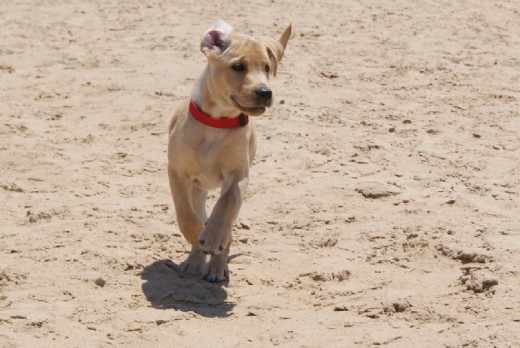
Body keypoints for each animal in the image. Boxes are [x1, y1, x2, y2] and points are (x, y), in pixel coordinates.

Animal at [167, 21, 290, 282]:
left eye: (266, 67)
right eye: (238, 67)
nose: (265, 92)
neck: (217, 123)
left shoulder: (238, 176)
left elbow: (225, 206)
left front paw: (214, 239)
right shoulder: (177, 173)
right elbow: (186, 215)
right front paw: (198, 236)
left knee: (226, 220)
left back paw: (217, 266)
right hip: (198, 188)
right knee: (199, 213)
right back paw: (195, 259)